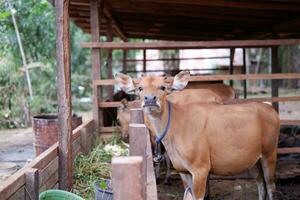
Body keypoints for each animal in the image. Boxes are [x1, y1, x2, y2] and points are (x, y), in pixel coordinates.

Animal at [116, 72, 280, 200]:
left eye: (162, 87)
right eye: (140, 88)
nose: (150, 99)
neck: (175, 128)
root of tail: (269, 108)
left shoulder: (200, 168)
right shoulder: (183, 170)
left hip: (270, 154)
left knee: (271, 186)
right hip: (253, 159)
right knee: (261, 184)